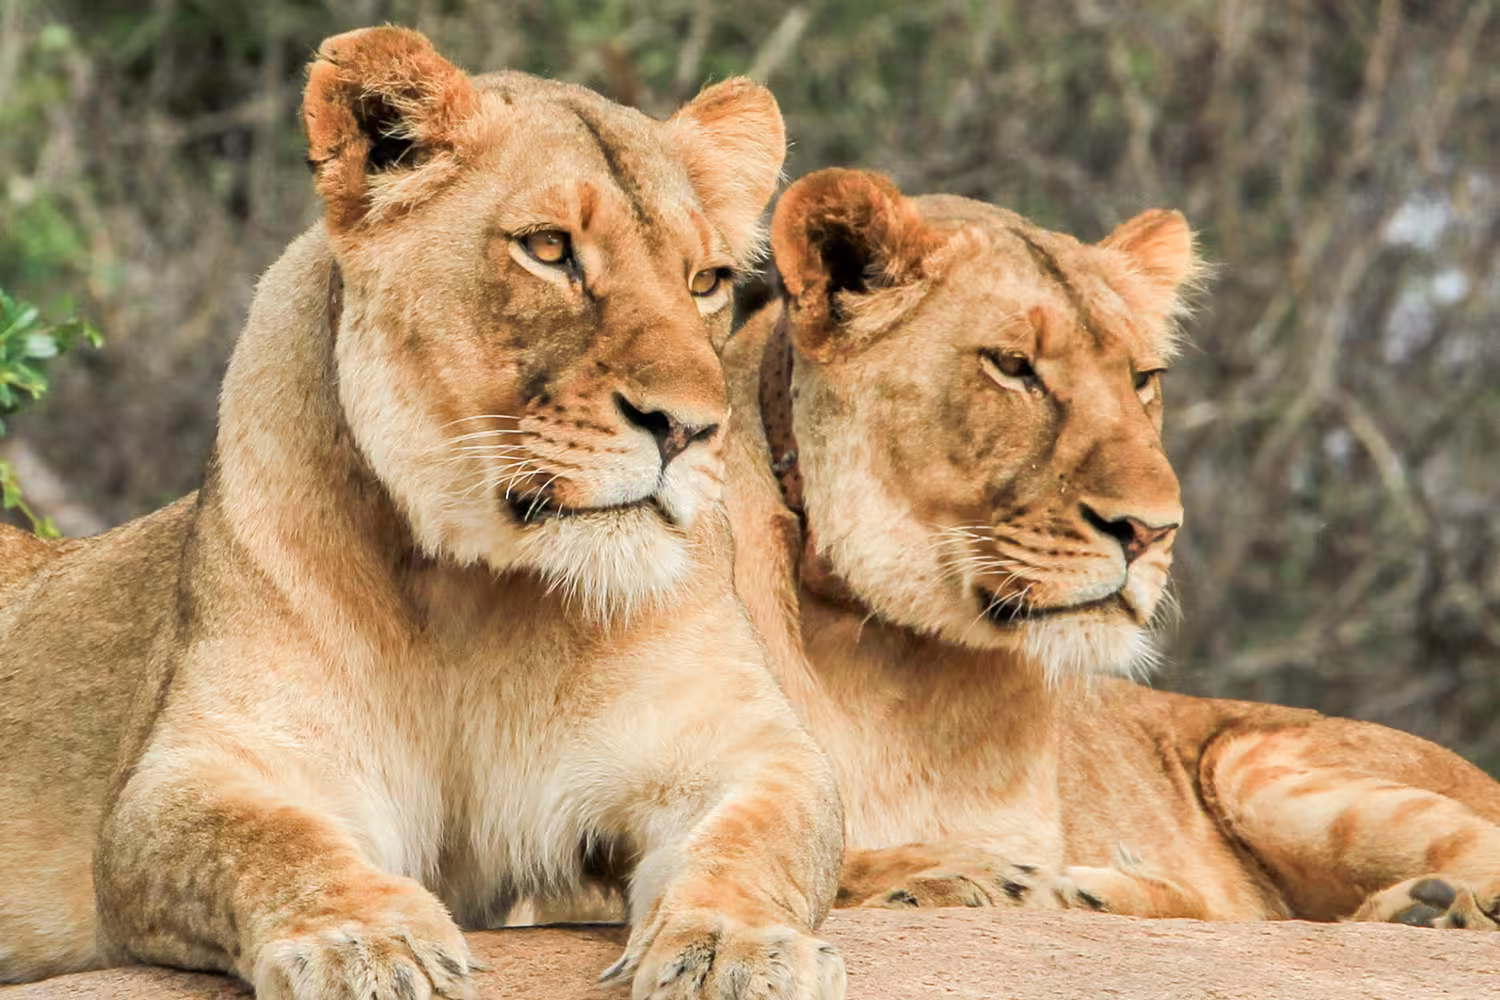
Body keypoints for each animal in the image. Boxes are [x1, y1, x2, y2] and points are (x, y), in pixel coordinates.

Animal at [0, 28, 848, 999]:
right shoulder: (195, 771)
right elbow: (270, 840)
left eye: (706, 279)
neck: (473, 589)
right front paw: (364, 943)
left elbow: (758, 838)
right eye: (549, 249)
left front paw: (739, 947)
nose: (690, 428)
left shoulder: (744, 748)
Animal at [722, 168, 1500, 931]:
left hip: (1252, 761)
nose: (1153, 530)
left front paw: (1017, 882)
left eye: (1142, 379)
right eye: (1014, 366)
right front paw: (964, 875)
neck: (882, 658)